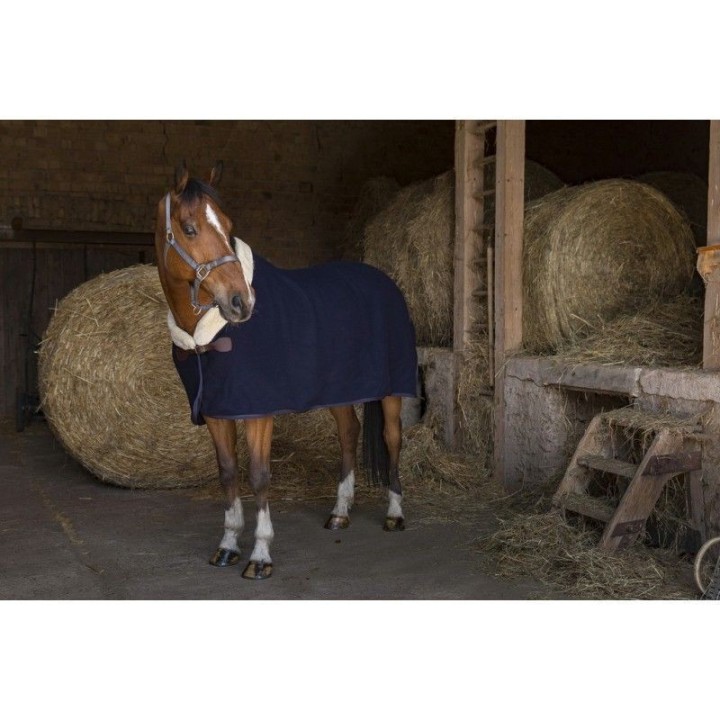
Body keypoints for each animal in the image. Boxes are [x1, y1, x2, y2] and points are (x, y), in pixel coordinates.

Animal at [154, 162, 418, 580]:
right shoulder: (217, 412)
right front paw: (227, 545)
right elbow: (228, 473)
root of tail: (386, 282)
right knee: (348, 434)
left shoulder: (258, 413)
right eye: (189, 228)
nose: (240, 303)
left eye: (228, 226)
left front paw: (260, 556)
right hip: (339, 391)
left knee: (392, 440)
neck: (208, 337)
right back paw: (339, 513)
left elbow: (260, 476)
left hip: (392, 391)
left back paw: (394, 514)